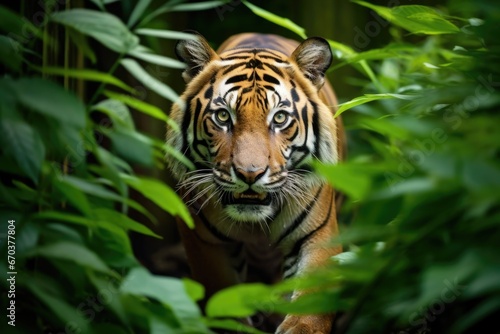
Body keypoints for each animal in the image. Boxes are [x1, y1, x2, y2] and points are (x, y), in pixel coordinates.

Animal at [166, 32, 346, 334]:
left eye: (280, 118)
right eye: (223, 116)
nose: (249, 174)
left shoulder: (318, 234)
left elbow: (312, 300)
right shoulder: (202, 240)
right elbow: (221, 299)